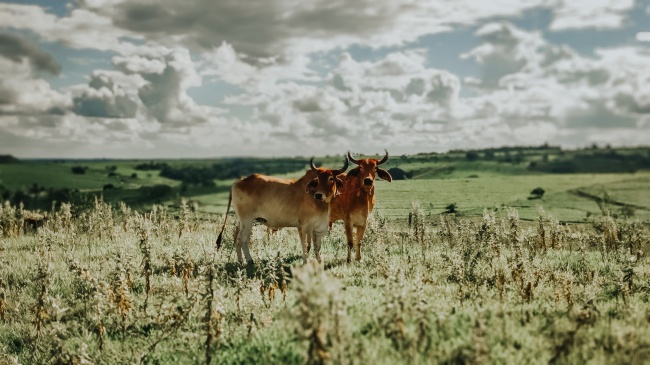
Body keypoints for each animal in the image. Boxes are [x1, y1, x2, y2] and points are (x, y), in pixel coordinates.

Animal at [215, 156, 346, 264]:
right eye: (317, 179)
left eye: (331, 178)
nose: (319, 195)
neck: (320, 203)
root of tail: (239, 181)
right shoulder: (305, 227)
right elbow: (307, 246)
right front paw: (307, 263)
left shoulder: (318, 228)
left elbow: (317, 247)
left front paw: (319, 263)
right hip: (247, 220)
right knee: (242, 238)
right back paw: (249, 260)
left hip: (241, 221)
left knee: (236, 237)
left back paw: (240, 261)